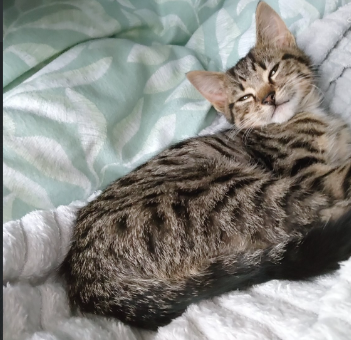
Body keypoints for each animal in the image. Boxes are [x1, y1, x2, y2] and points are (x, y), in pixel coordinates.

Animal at [60, 1, 351, 332]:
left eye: (273, 71)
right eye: (245, 97)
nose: (268, 98)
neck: (306, 116)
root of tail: (88, 280)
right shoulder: (309, 173)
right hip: (238, 193)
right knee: (312, 215)